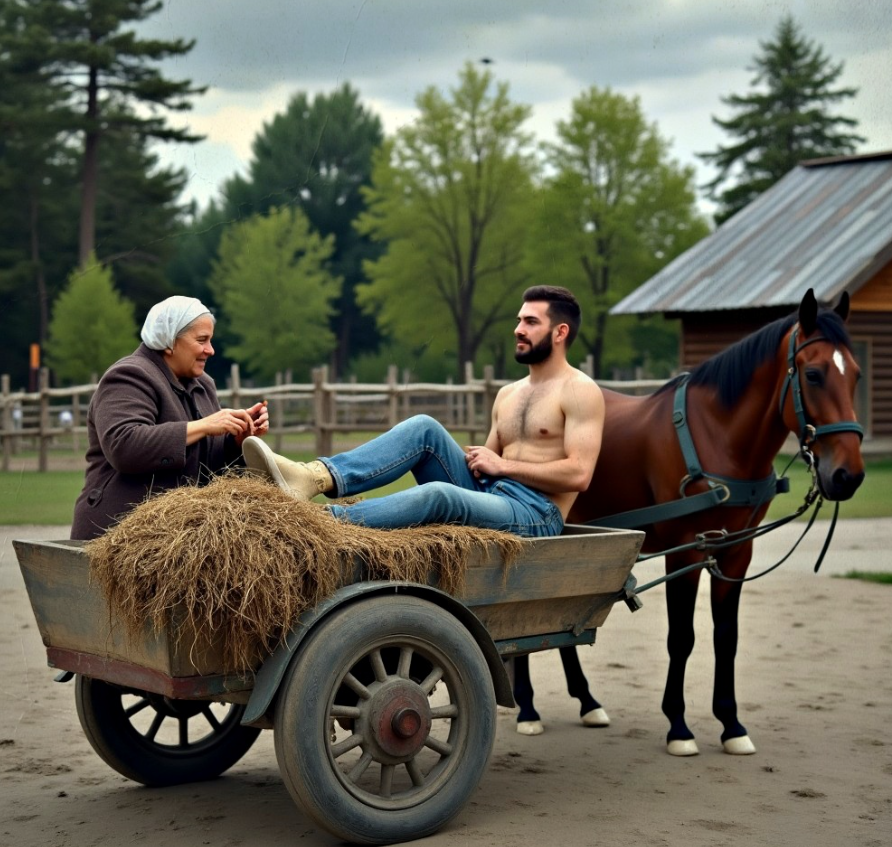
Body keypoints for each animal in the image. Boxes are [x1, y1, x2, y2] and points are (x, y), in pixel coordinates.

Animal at [508, 290, 864, 756]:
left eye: (856, 375)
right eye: (816, 374)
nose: (848, 475)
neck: (719, 435)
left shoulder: (735, 551)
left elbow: (725, 637)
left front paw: (732, 725)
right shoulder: (687, 552)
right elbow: (682, 638)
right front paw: (678, 726)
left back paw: (587, 702)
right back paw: (528, 709)